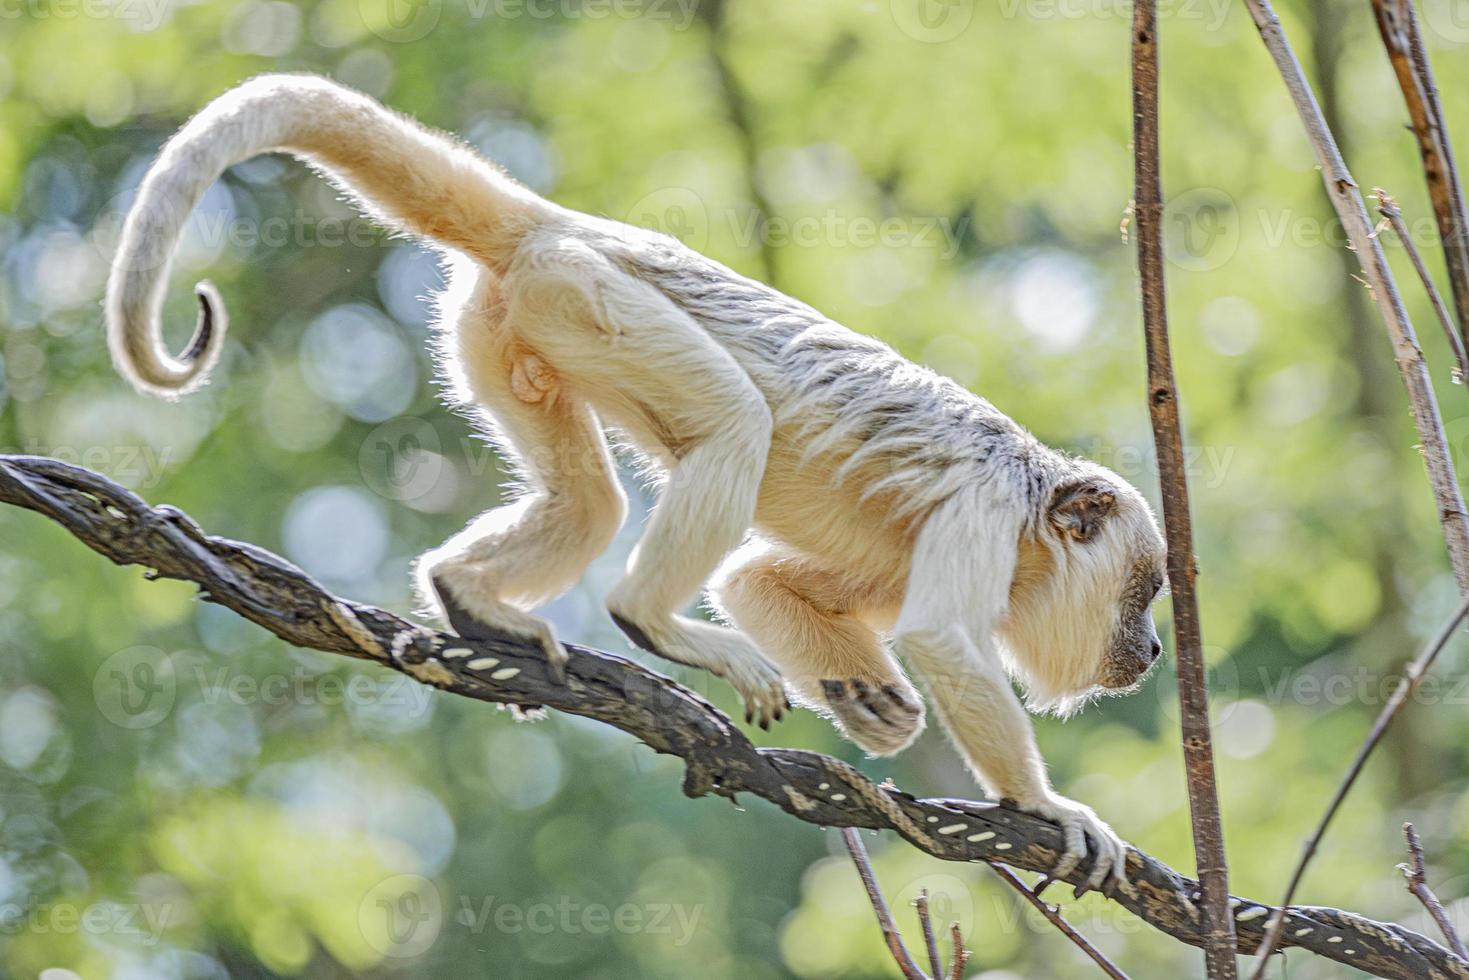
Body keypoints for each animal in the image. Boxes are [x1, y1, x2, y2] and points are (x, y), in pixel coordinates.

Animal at [106, 72, 1169, 893]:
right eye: (1142, 595)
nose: (1156, 648)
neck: (1031, 516)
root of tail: (568, 224)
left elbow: (758, 582)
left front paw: (862, 694)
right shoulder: (984, 508)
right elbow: (943, 639)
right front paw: (1043, 804)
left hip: (512, 319)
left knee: (591, 504)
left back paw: (472, 596)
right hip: (595, 297)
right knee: (732, 422)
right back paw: (647, 618)